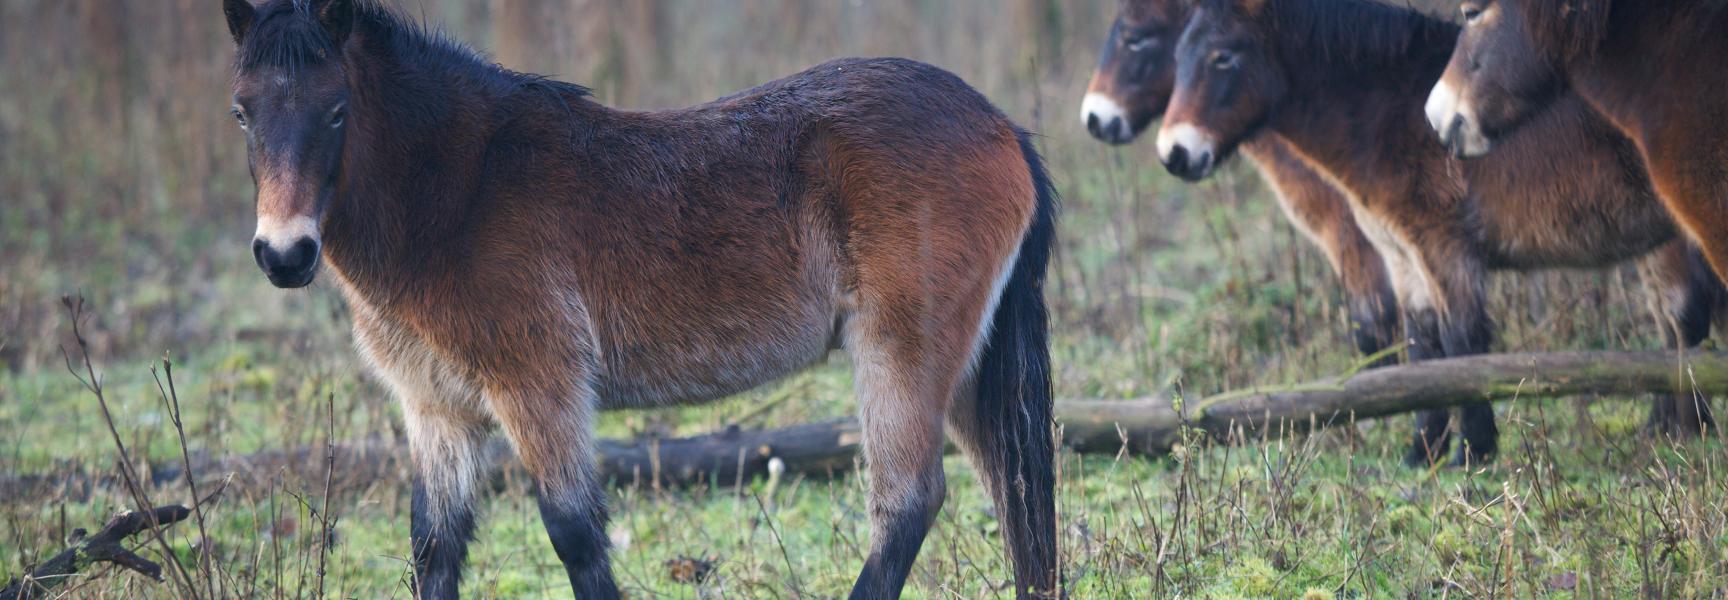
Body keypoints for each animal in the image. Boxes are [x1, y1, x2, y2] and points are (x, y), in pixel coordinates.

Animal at [220, 0, 1060, 598]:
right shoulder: (437, 409)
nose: (284, 253)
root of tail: (1001, 123)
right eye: (242, 111)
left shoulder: (540, 389)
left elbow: (574, 534)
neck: (461, 186)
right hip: (965, 369)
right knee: (1014, 492)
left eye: (336, 109)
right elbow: (435, 548)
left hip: (900, 353)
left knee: (908, 503)